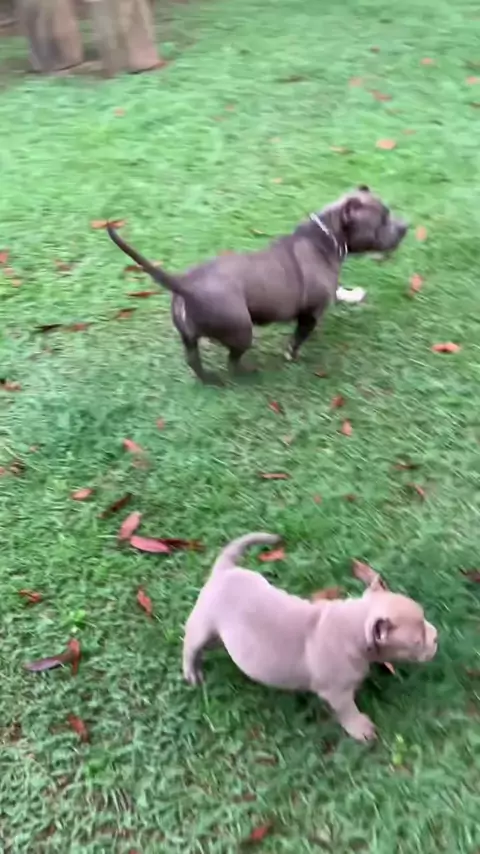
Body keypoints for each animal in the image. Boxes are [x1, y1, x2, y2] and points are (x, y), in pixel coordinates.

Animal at [107, 187, 408, 384]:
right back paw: (248, 373)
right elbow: (298, 338)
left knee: (193, 359)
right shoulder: (310, 312)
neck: (326, 237)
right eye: (382, 220)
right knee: (232, 361)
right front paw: (293, 354)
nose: (405, 226)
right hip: (241, 330)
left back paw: (210, 380)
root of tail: (184, 284)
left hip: (189, 337)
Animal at [183, 533, 437, 741]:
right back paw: (192, 672)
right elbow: (347, 710)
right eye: (417, 641)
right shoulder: (336, 693)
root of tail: (224, 570)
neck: (351, 625)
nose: (436, 637)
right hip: (203, 626)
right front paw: (361, 729)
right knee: (191, 645)